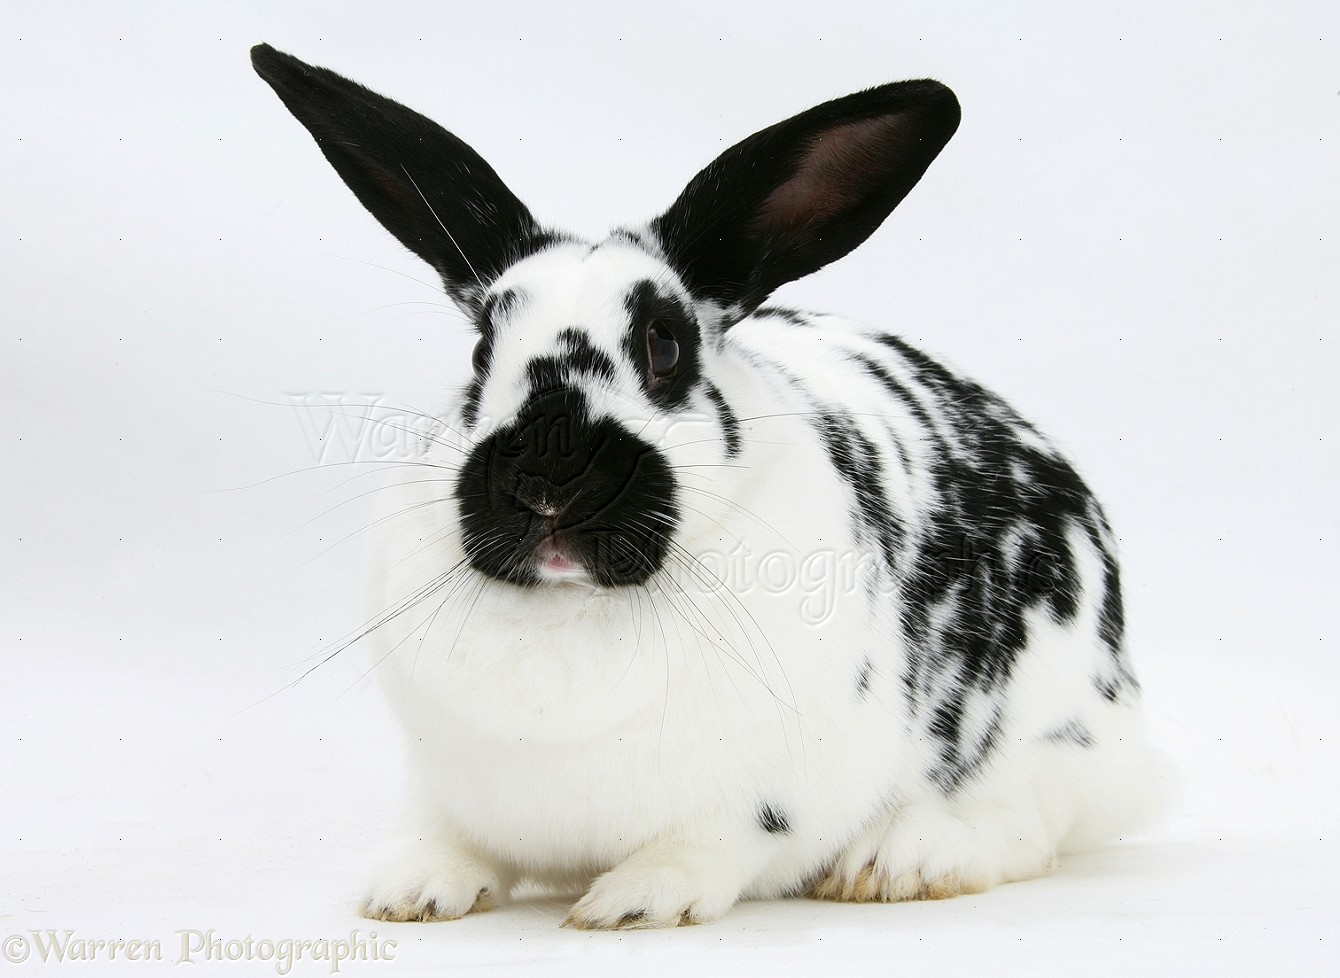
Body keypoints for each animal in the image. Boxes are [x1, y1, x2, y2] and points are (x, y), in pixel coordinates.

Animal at [251, 43, 1164, 929]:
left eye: (666, 345)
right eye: (482, 349)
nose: (548, 477)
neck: (574, 605)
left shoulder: (759, 797)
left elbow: (712, 844)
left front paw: (634, 901)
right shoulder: (445, 785)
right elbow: (449, 840)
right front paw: (409, 891)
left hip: (1052, 731)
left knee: (1029, 822)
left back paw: (899, 863)